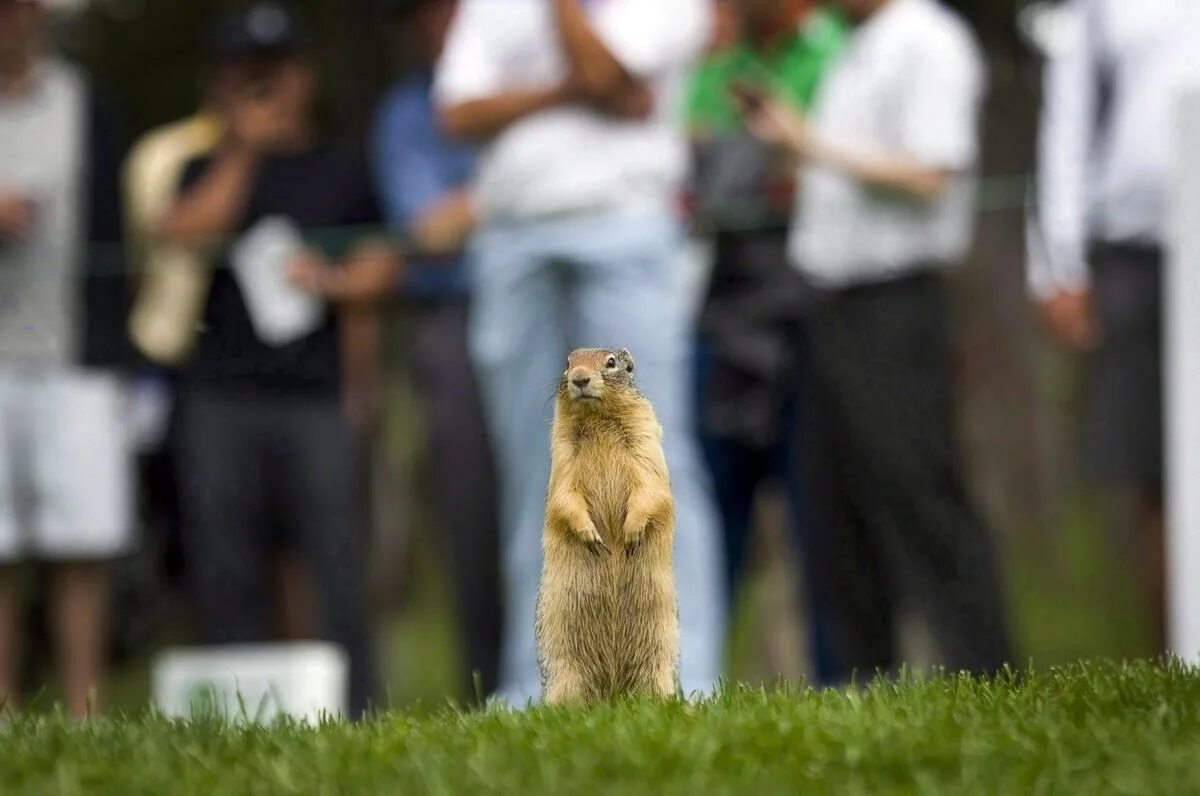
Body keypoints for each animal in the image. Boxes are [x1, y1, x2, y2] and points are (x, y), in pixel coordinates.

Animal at [537, 348, 681, 705]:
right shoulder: (561, 454)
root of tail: (612, 694)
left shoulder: (646, 440)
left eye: (611, 362)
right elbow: (564, 498)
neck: (598, 418)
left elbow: (650, 489)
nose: (579, 378)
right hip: (564, 673)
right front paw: (591, 536)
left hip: (658, 662)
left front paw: (630, 534)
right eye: (568, 363)